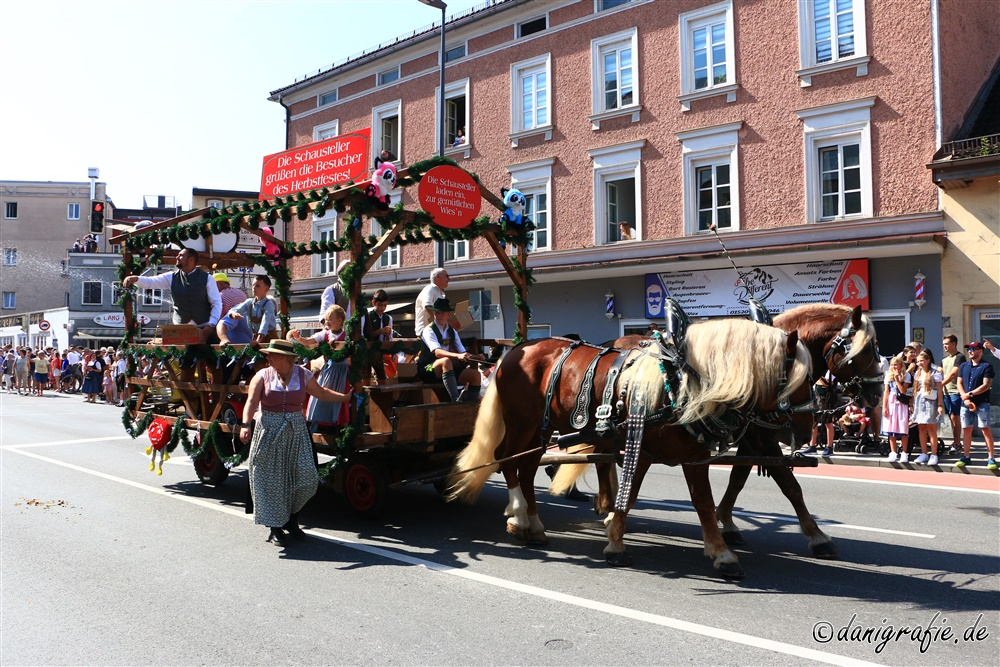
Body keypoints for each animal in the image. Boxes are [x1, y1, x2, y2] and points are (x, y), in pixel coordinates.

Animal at [448, 318, 812, 580]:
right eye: (802, 379)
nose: (807, 431)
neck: (679, 382)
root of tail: (514, 350)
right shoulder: (644, 451)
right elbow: (631, 495)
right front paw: (615, 542)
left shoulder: (694, 457)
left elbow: (704, 505)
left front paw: (722, 554)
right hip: (522, 423)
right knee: (507, 461)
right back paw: (519, 514)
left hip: (542, 428)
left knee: (526, 467)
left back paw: (533, 524)